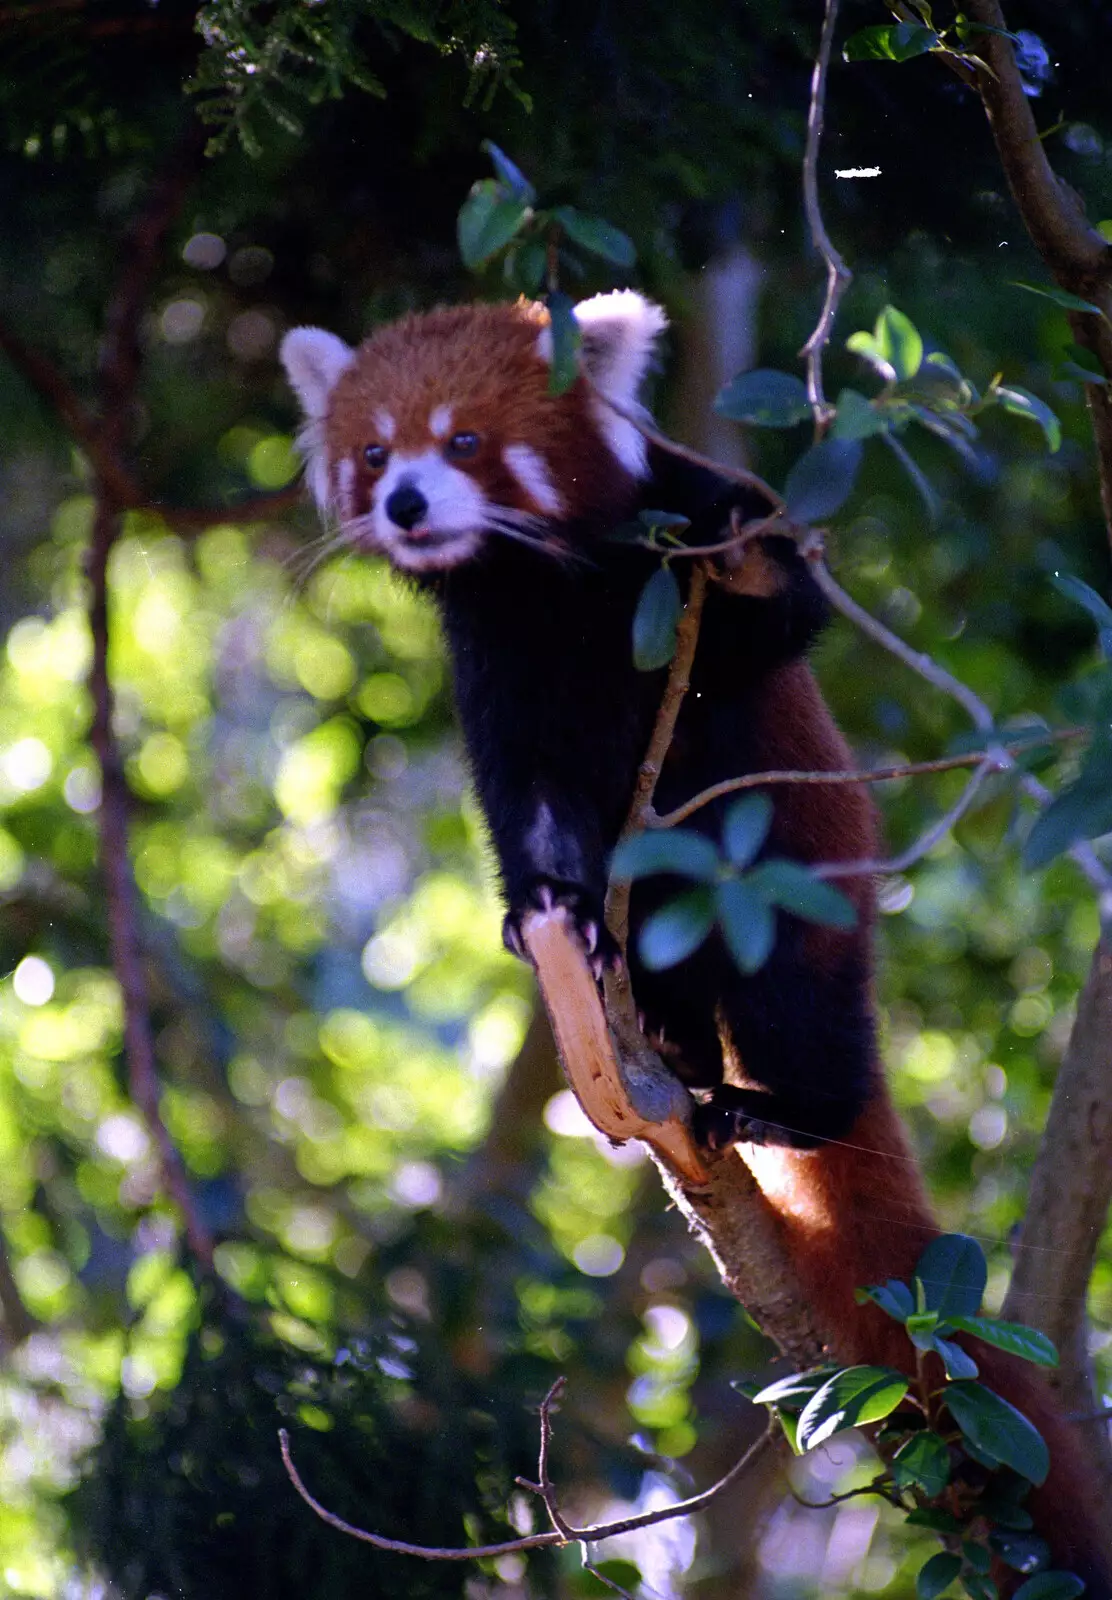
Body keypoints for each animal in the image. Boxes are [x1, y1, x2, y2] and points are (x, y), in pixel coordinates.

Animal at [280, 291, 1112, 1587]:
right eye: (374, 454)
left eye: (463, 441)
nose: (407, 504)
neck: (538, 584)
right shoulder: (495, 668)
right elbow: (526, 800)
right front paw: (546, 907)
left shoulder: (698, 527)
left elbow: (765, 620)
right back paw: (658, 1049)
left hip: (800, 898)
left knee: (799, 1008)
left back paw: (771, 1108)